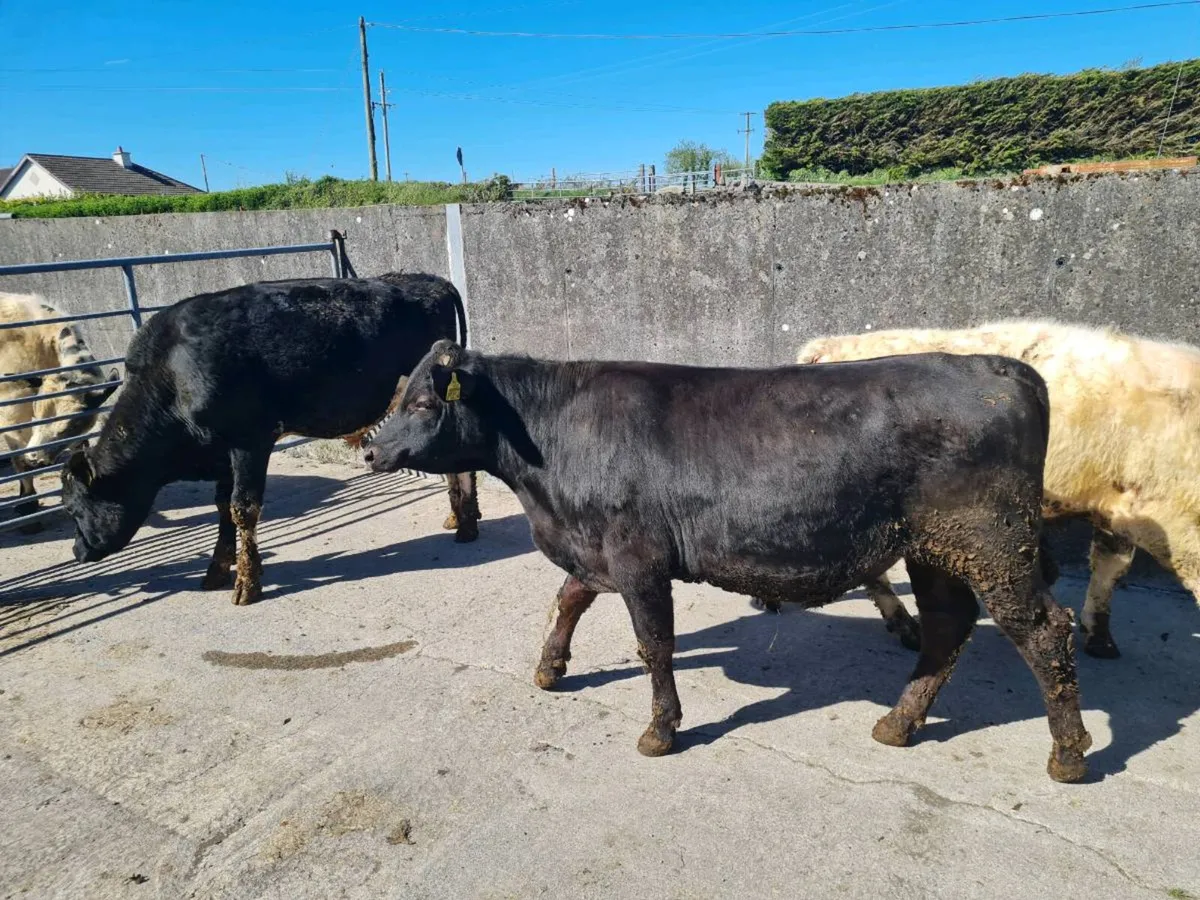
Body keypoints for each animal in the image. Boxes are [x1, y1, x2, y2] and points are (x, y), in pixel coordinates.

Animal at [1, 292, 119, 533]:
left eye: (74, 425)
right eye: (37, 409)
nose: (37, 458)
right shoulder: (11, 412)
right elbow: (19, 459)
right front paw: (28, 507)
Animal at [60, 273, 480, 605]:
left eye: (72, 507)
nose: (77, 551)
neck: (174, 373)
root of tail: (428, 280)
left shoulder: (250, 440)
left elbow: (242, 508)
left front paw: (247, 584)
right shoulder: (221, 450)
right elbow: (221, 506)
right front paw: (216, 569)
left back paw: (466, 526)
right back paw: (458, 516)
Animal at [362, 340, 1093, 783]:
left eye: (423, 402)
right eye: (397, 397)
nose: (369, 449)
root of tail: (1002, 368)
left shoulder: (637, 558)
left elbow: (654, 645)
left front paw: (661, 729)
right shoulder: (596, 551)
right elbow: (568, 599)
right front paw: (549, 669)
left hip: (994, 543)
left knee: (1043, 633)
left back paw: (1067, 753)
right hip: (935, 549)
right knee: (947, 625)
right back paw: (898, 723)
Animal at [776, 319, 1200, 660]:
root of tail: (824, 348)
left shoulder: (1121, 505)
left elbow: (1110, 566)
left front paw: (1099, 636)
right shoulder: (1170, 518)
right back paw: (905, 625)